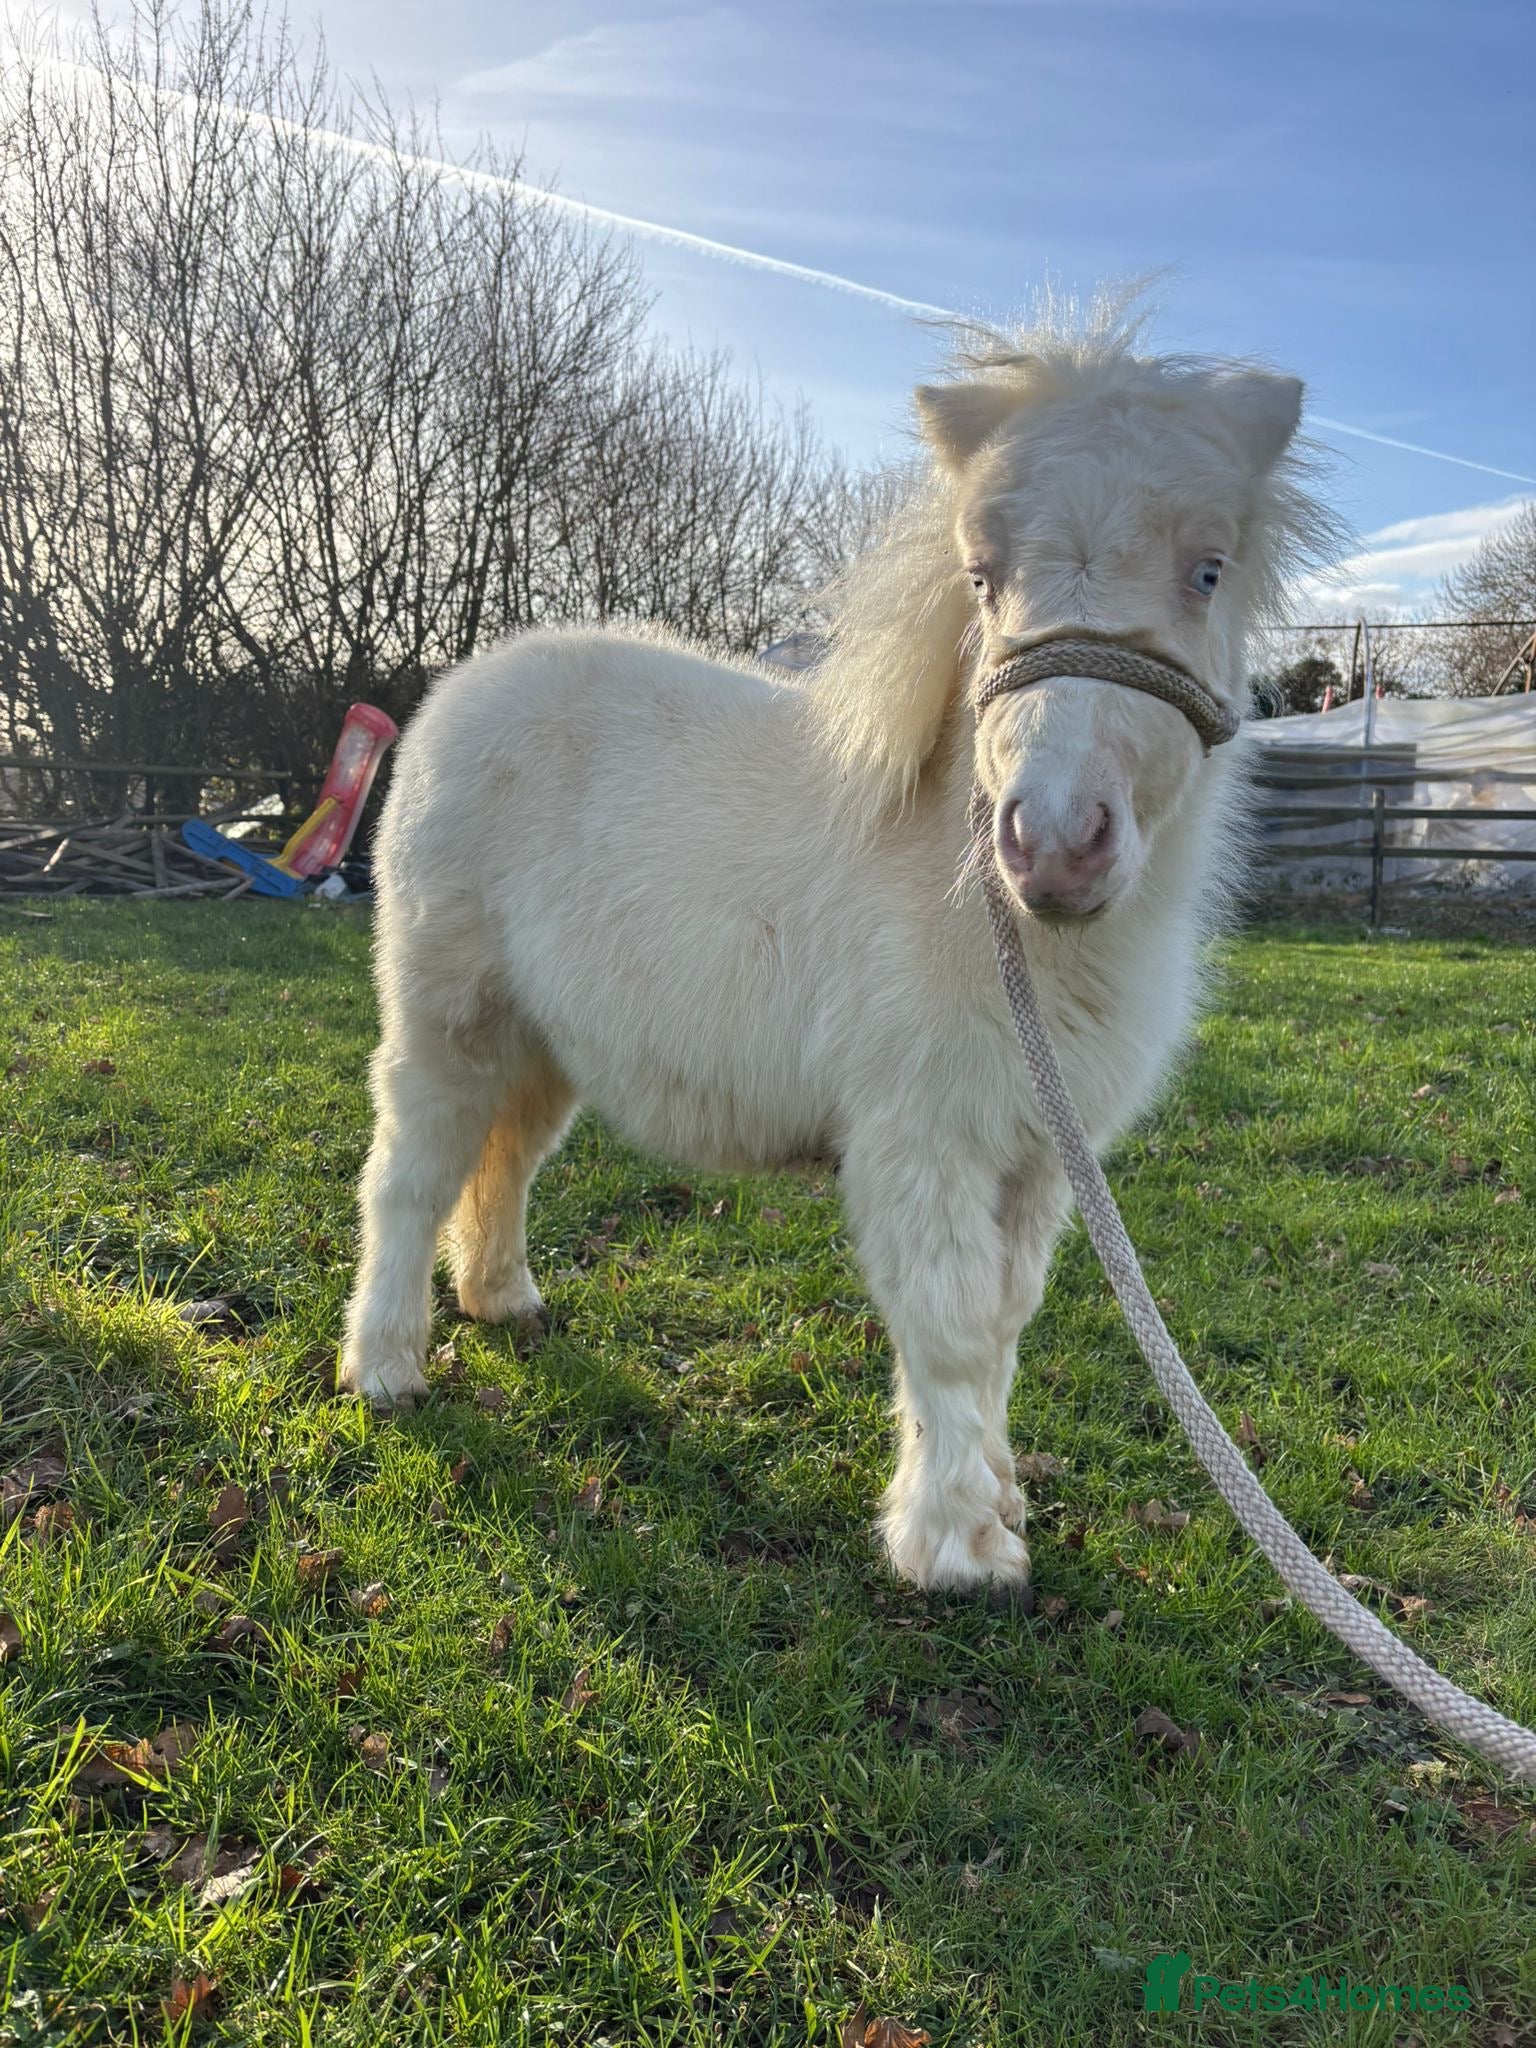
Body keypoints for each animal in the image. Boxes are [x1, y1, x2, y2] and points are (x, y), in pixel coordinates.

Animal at [338, 304, 1332, 1597]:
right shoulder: (924, 1135)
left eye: (1207, 569)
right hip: (447, 1010)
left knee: (501, 1159)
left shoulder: (1035, 1154)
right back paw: (385, 1368)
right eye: (982, 577)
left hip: (546, 1038)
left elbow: (1004, 1322)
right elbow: (948, 1326)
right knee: (410, 1171)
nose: (1054, 842)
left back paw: (504, 1300)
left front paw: (999, 1494)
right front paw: (955, 1547)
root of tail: (462, 691)